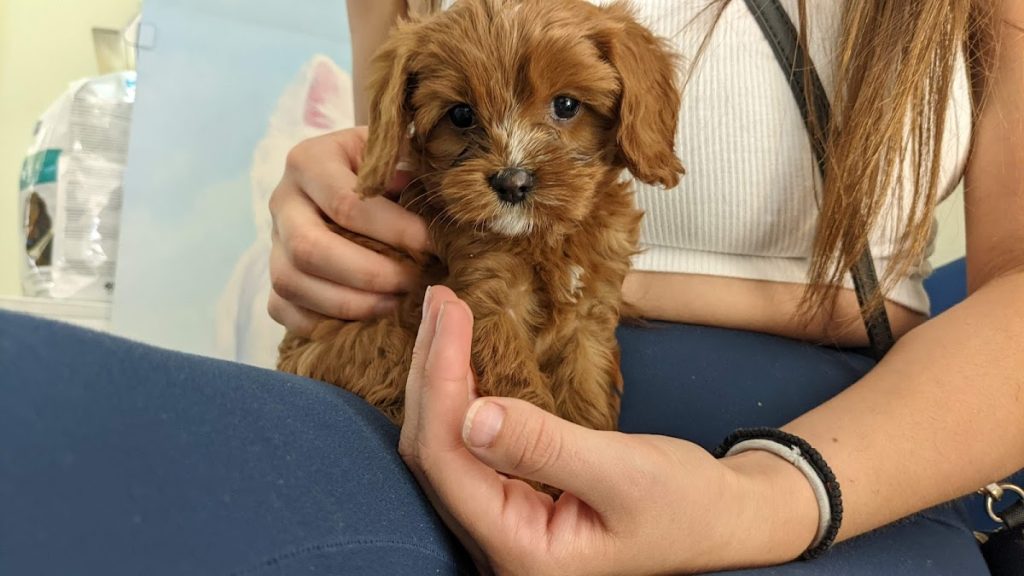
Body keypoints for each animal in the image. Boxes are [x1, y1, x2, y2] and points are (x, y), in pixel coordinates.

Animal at [278, 0, 683, 432]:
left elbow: (586, 385)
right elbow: (516, 379)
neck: (546, 236)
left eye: (566, 105)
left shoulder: (590, 313)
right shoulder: (489, 296)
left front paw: (583, 430)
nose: (512, 182)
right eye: (461, 115)